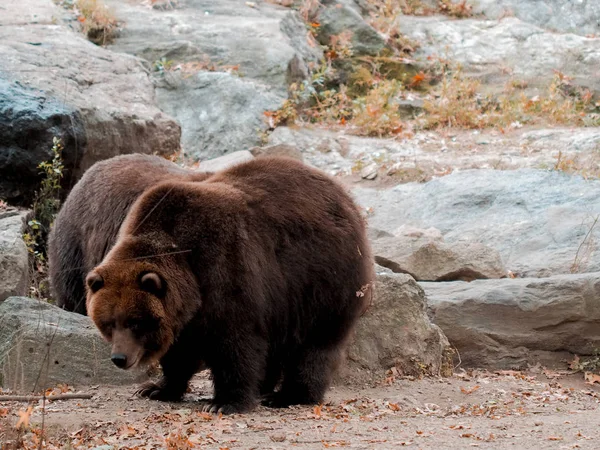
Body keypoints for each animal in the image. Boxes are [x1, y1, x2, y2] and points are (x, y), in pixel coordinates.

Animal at [85, 157, 376, 414]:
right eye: (109, 323)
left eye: (135, 322)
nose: (119, 358)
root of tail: (346, 198)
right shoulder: (185, 312)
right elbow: (180, 351)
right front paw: (156, 388)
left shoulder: (225, 270)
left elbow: (235, 343)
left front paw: (224, 403)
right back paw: (265, 388)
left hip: (320, 280)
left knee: (313, 344)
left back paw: (289, 395)